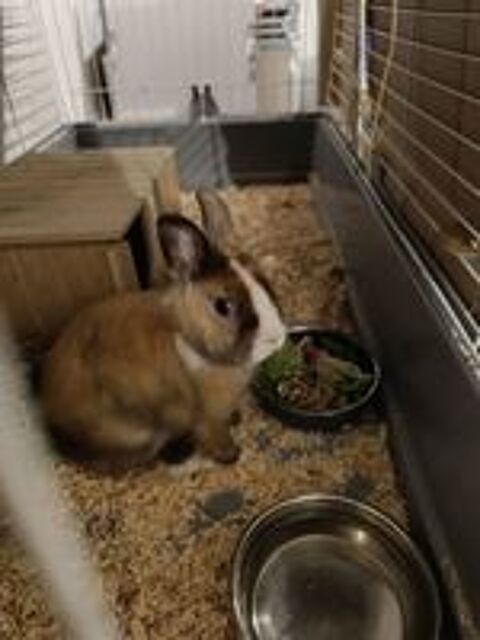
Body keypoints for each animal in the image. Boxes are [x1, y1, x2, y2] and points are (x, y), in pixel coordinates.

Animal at [41, 190, 286, 467]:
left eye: (266, 282)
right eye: (223, 306)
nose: (276, 338)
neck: (188, 341)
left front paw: (236, 419)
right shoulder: (207, 415)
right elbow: (215, 434)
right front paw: (230, 455)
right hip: (137, 433)